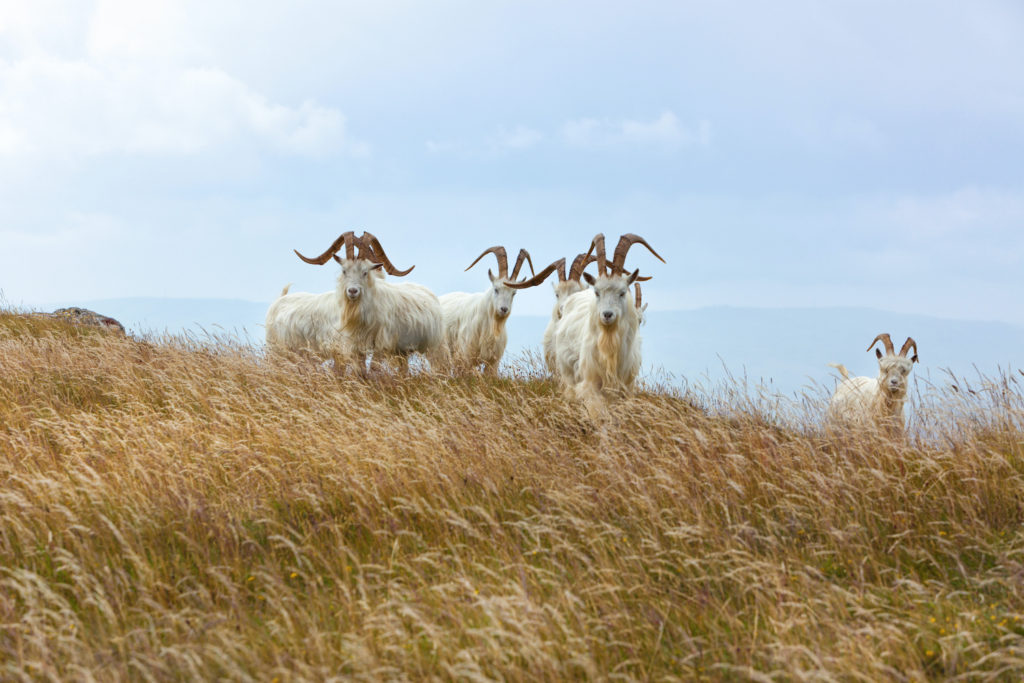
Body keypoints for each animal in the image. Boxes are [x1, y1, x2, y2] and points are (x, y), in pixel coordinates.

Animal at [264, 233, 440, 374]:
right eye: (344, 271)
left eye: (365, 272)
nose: (353, 291)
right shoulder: (349, 347)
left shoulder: (376, 345)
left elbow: (369, 368)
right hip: (276, 349)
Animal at [552, 232, 663, 413]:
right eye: (597, 292)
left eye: (622, 292)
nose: (607, 314)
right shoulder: (591, 384)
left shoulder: (626, 387)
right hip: (568, 375)